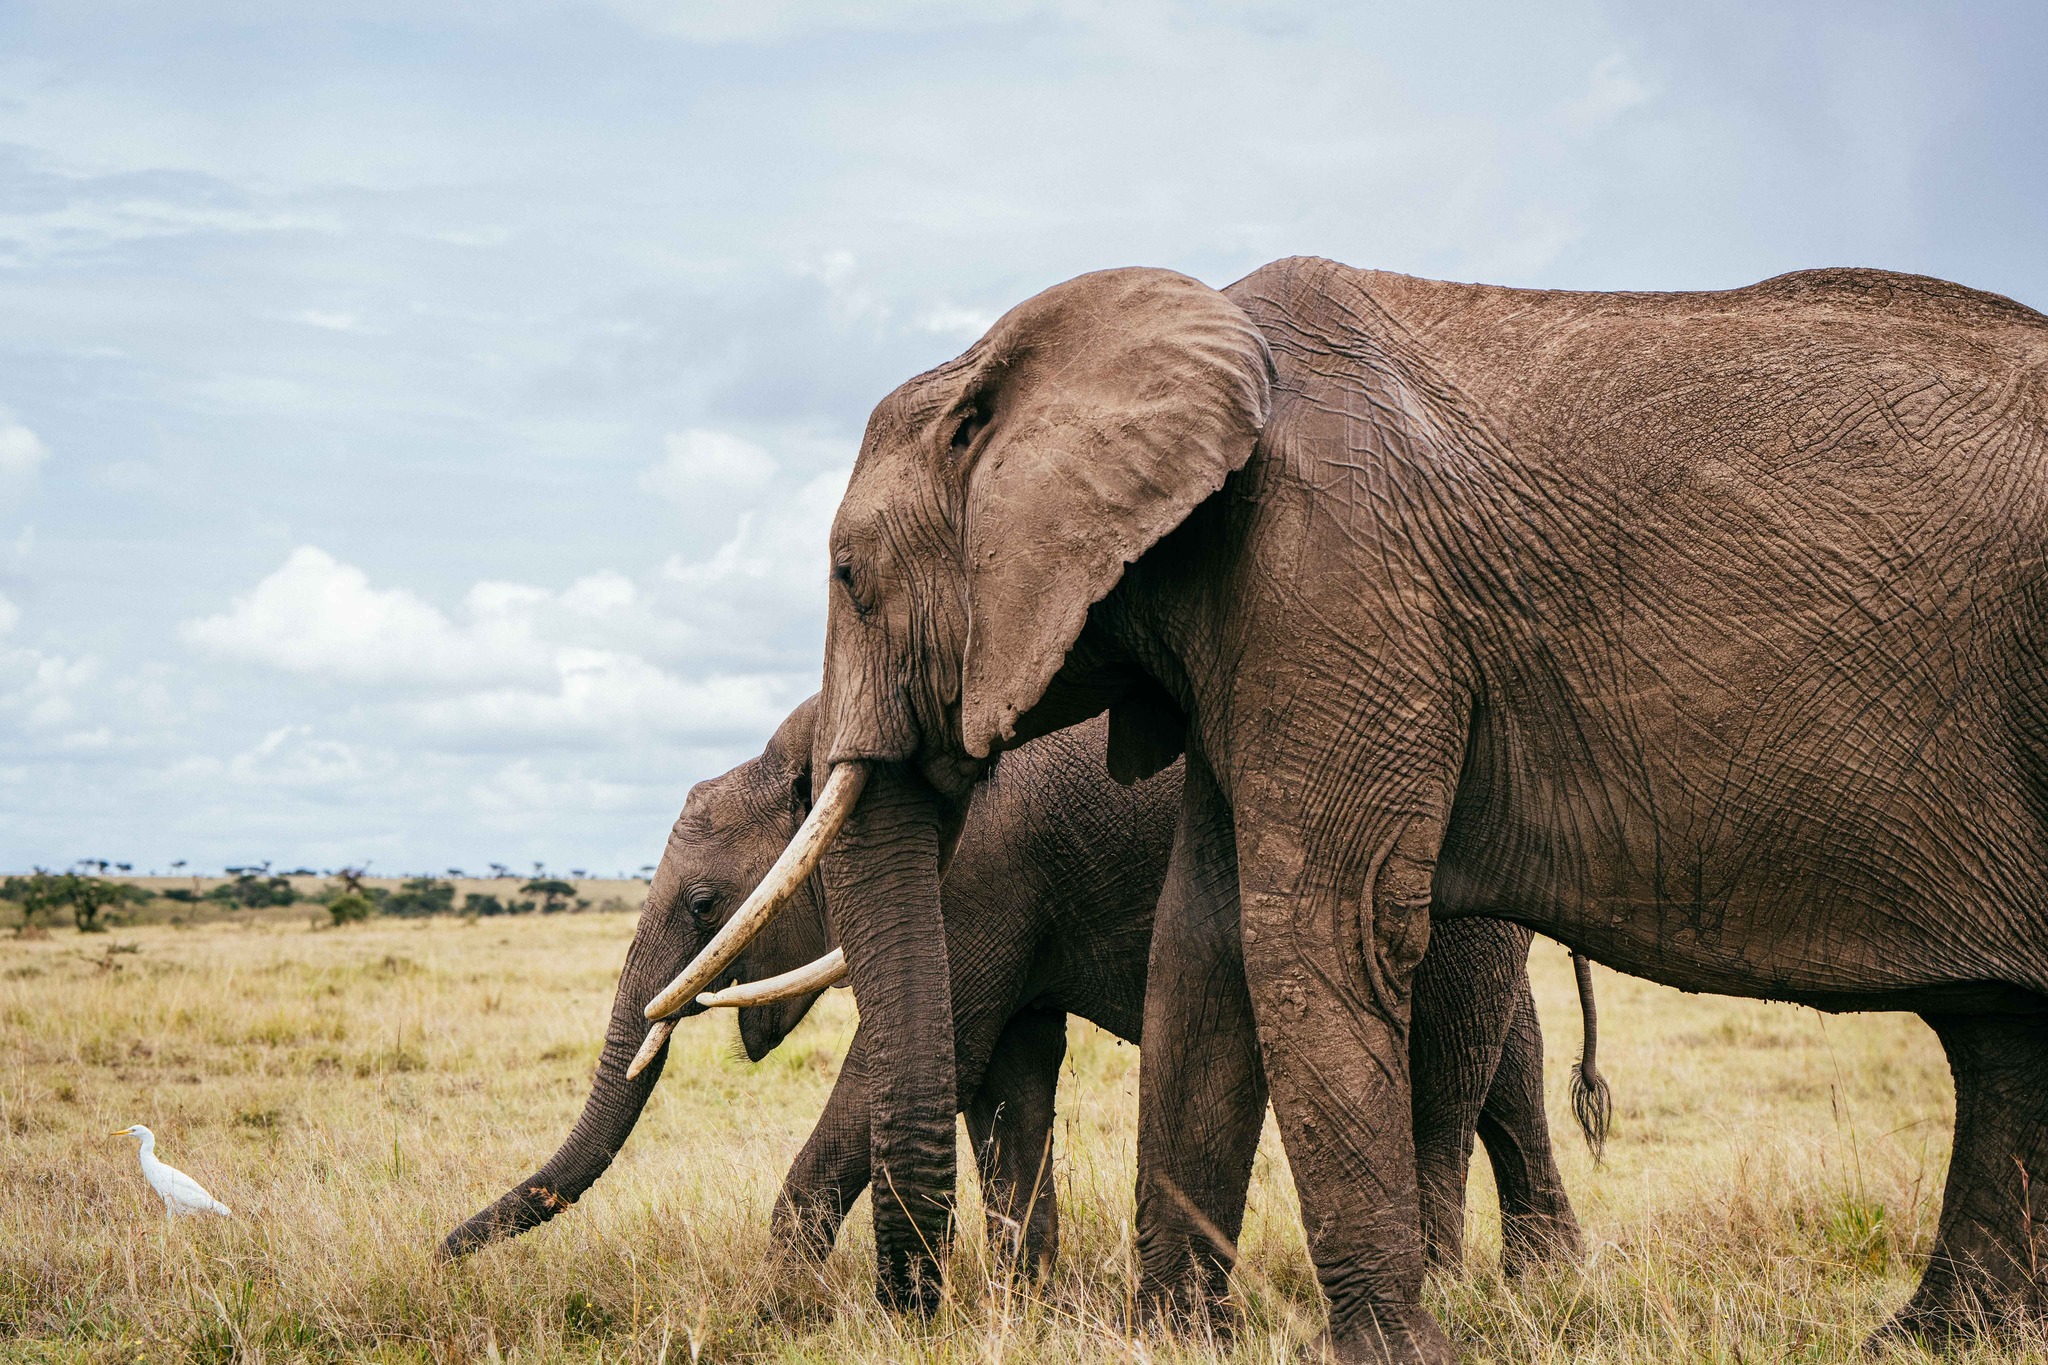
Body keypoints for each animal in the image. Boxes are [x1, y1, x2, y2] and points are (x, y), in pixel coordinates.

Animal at [444, 699, 1607, 1287]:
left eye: (699, 903)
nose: (444, 1249)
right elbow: (1006, 1073)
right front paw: (1026, 1302)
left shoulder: (980, 869)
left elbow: (937, 1051)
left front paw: (783, 1312)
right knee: (1510, 1068)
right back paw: (1542, 1287)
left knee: (1442, 1076)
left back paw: (1449, 1285)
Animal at [632, 257, 2048, 1361]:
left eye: (845, 574)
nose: (906, 1310)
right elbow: (1200, 949)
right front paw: (1168, 1341)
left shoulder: (1333, 586)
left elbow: (1313, 927)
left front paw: (1394, 1351)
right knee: (1994, 1032)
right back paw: (1926, 1340)